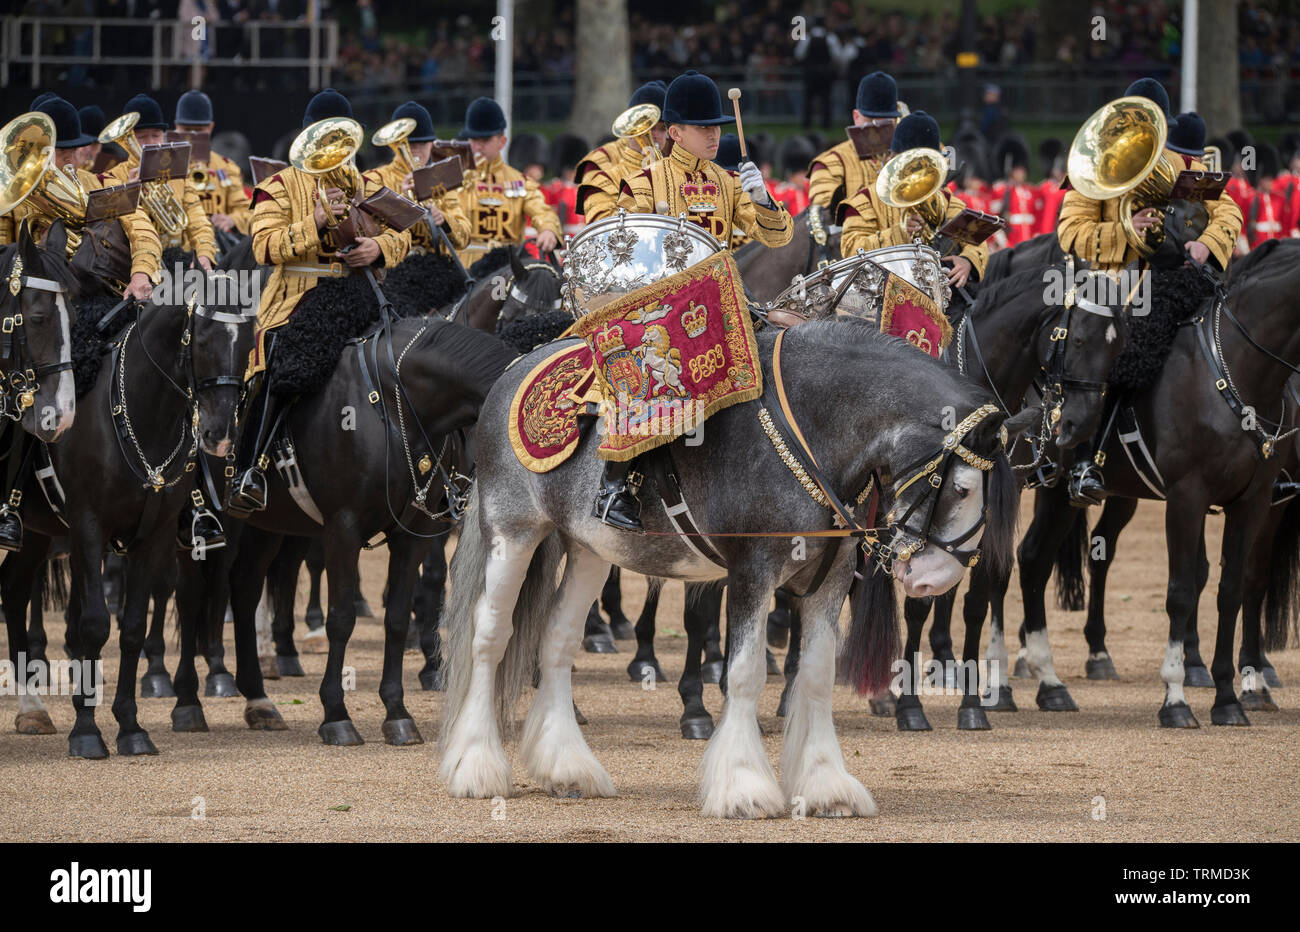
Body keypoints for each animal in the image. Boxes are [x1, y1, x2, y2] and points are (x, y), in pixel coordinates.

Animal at [441, 318, 1019, 816]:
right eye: (961, 489)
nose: (935, 579)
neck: (811, 430)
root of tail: (514, 370)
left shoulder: (828, 584)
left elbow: (816, 676)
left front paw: (826, 784)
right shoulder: (751, 572)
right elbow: (743, 673)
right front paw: (743, 786)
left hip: (589, 550)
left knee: (557, 641)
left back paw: (568, 769)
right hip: (513, 533)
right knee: (489, 635)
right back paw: (476, 765)